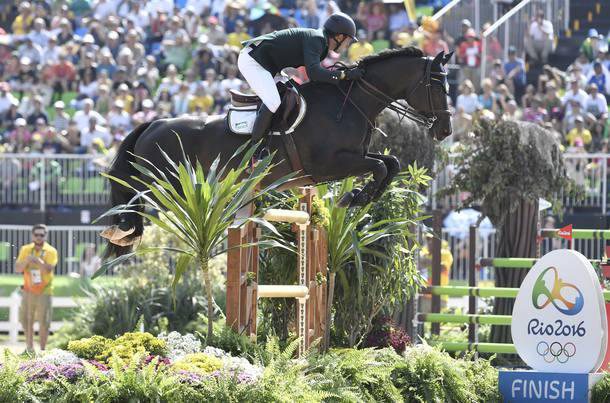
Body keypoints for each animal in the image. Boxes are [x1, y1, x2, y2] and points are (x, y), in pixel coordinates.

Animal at [102, 46, 452, 256]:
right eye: (437, 86)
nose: (445, 130)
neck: (348, 103)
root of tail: (154, 122)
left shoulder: (351, 158)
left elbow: (390, 163)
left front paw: (362, 197)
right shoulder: (329, 164)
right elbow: (381, 167)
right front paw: (355, 197)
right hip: (165, 183)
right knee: (135, 199)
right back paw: (125, 231)